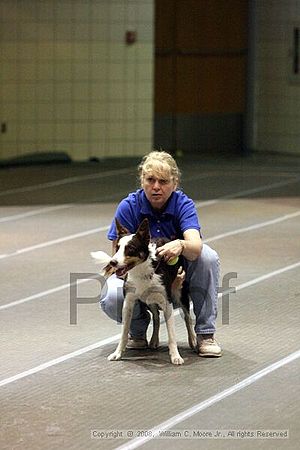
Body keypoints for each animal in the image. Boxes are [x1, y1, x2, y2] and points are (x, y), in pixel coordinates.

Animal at [91, 219, 197, 366]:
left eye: (130, 248)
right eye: (117, 248)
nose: (113, 262)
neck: (141, 270)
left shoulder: (167, 302)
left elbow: (172, 334)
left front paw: (175, 356)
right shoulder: (128, 303)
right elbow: (124, 333)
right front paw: (117, 353)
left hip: (179, 293)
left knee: (187, 317)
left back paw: (193, 340)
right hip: (149, 300)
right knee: (156, 317)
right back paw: (154, 340)